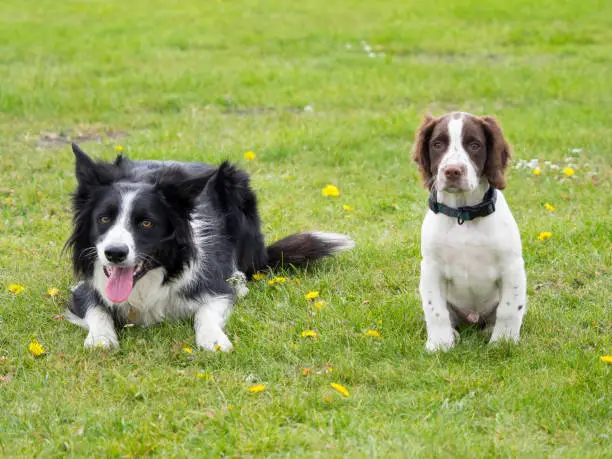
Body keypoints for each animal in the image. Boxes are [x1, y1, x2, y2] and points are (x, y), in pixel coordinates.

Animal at [65, 146, 354, 350]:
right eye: (104, 219)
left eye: (146, 223)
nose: (114, 253)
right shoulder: (83, 289)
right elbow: (97, 309)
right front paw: (101, 338)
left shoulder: (215, 288)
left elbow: (206, 312)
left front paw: (213, 339)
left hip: (237, 189)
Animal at [414, 112, 528, 352]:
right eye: (437, 144)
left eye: (474, 145)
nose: (452, 171)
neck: (463, 215)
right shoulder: (431, 267)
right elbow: (435, 310)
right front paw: (440, 344)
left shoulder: (511, 265)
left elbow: (509, 309)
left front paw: (503, 342)